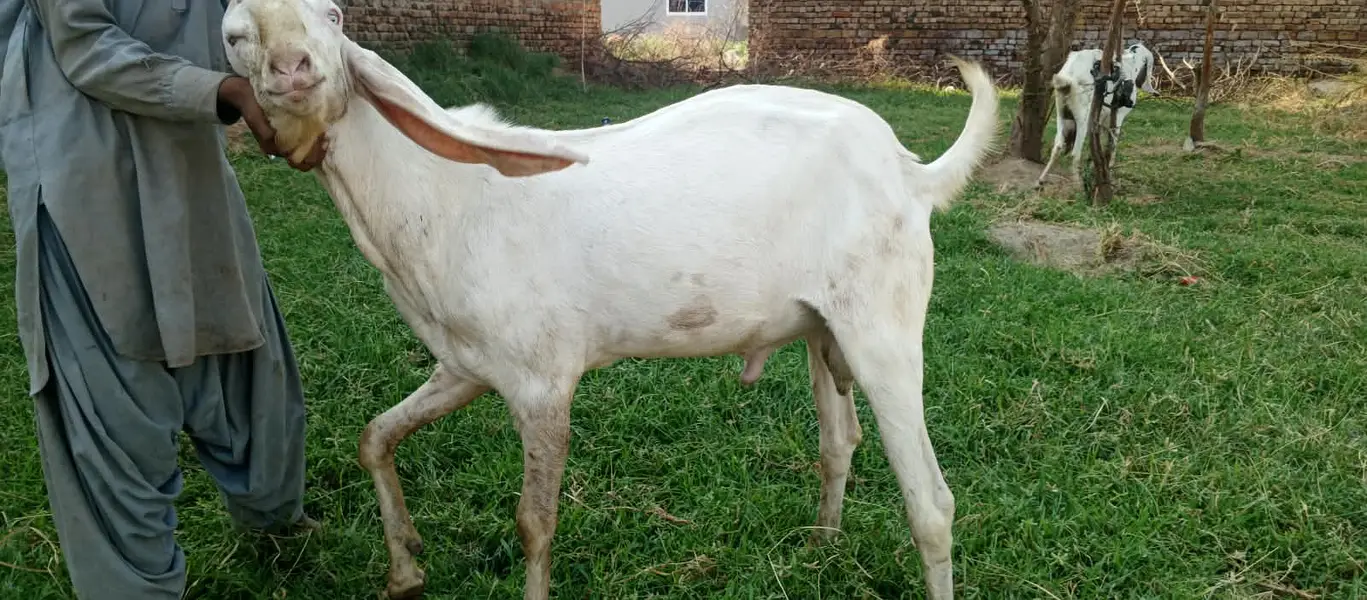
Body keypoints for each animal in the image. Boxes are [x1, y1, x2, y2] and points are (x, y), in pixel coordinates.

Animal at [221, 1, 999, 599]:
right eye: (235, 34)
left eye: (333, 15)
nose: (294, 69)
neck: (444, 195)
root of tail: (908, 170)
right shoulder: (465, 366)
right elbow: (374, 437)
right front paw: (405, 568)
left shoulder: (542, 382)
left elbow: (534, 521)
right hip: (822, 326)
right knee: (839, 442)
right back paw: (820, 547)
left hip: (883, 323)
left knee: (931, 503)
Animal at [1036, 41, 1157, 186]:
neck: (1131, 63)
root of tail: (1069, 77)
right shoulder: (1118, 116)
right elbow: (1113, 141)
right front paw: (1109, 167)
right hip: (1082, 118)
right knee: (1075, 153)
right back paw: (1077, 182)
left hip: (1062, 113)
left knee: (1058, 146)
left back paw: (1041, 179)